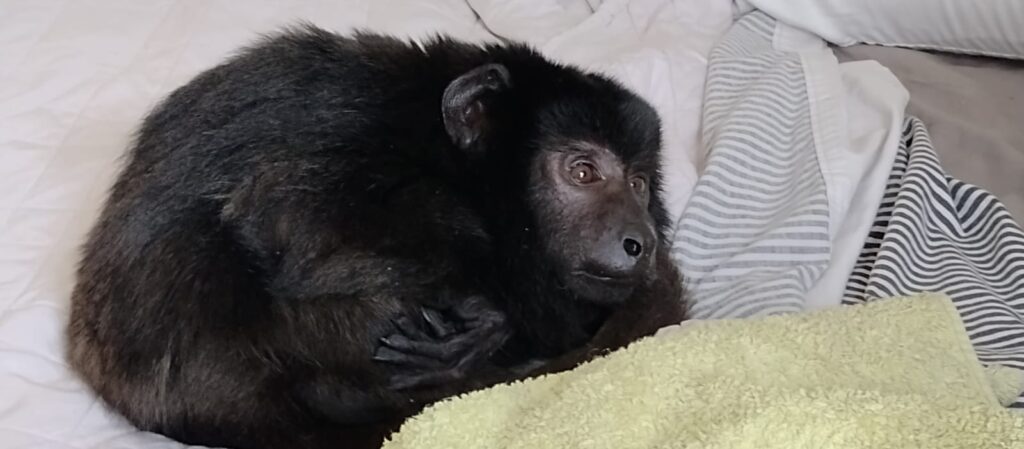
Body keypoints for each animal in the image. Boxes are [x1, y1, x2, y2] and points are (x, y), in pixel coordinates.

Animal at [66, 24, 687, 449]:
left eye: (637, 183)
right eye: (582, 172)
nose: (641, 239)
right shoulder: (360, 134)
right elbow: (278, 219)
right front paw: (491, 317)